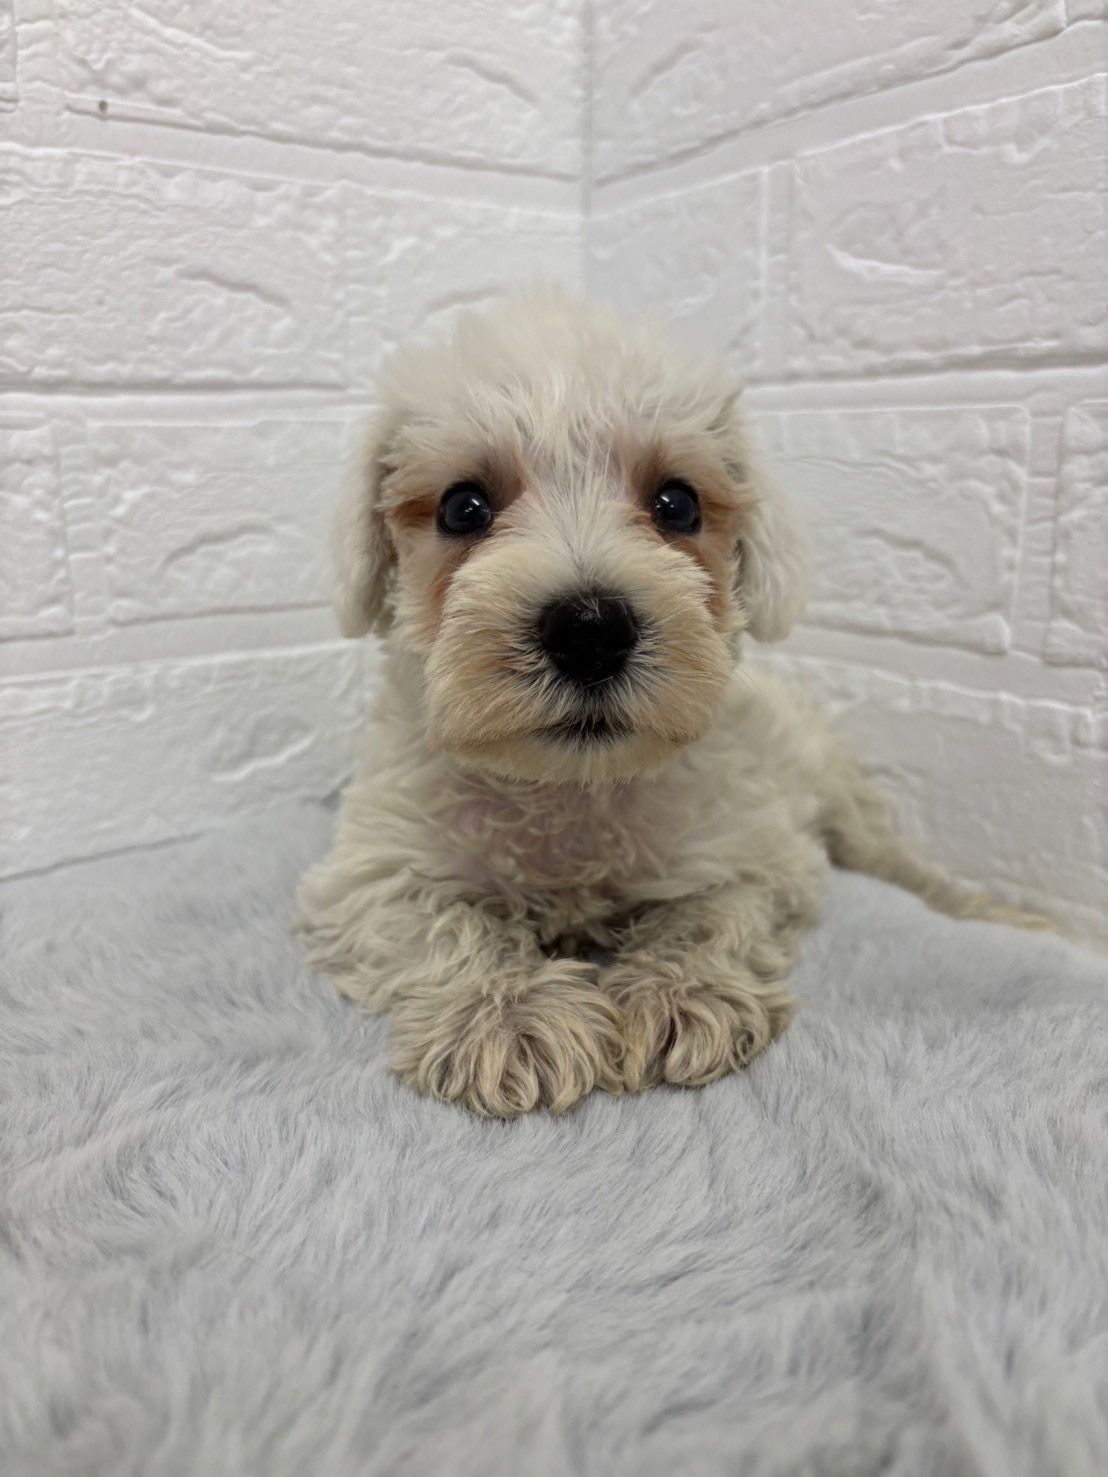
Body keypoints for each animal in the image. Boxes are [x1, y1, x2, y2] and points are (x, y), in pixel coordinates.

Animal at [297, 290, 1042, 1117]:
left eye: (677, 504)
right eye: (463, 509)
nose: (590, 629)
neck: (570, 791)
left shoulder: (761, 850)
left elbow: (715, 910)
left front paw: (679, 994)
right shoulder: (366, 873)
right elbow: (439, 924)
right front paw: (509, 1012)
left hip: (843, 799)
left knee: (895, 862)